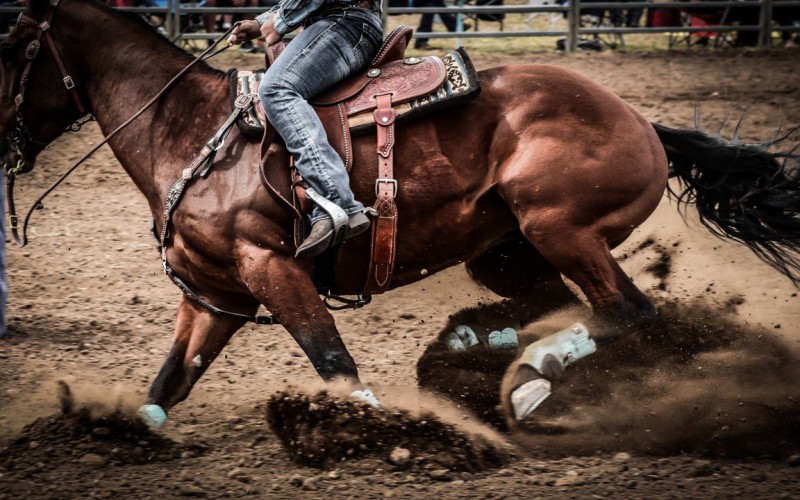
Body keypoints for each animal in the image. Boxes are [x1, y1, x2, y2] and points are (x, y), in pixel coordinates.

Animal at [1, 0, 800, 430]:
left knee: (626, 311)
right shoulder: (216, 294)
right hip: (506, 249)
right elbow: (168, 383)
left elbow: (334, 364)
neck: (191, 130)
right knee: (558, 305)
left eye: (13, 46)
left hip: (559, 227)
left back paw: (533, 371)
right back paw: (487, 344)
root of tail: (641, 120)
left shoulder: (272, 268)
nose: (0, 140)